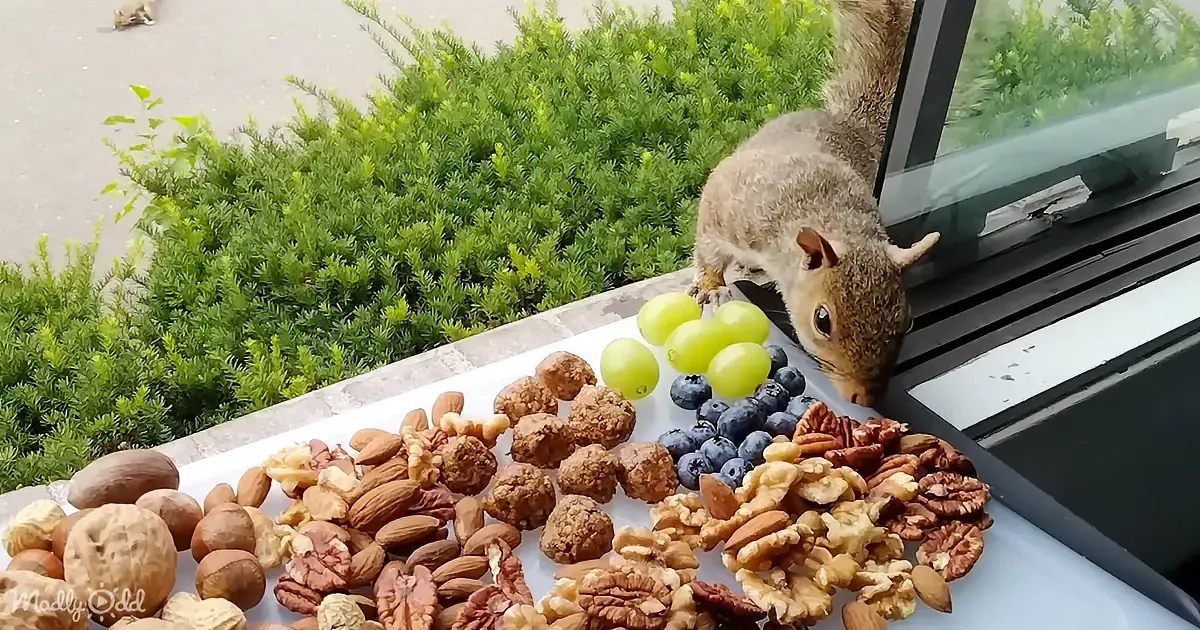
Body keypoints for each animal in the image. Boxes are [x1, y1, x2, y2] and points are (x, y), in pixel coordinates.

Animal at [688, 0, 938, 406]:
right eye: (822, 320)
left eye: (908, 320)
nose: (865, 399)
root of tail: (847, 124)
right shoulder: (728, 210)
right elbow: (709, 247)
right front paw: (710, 285)